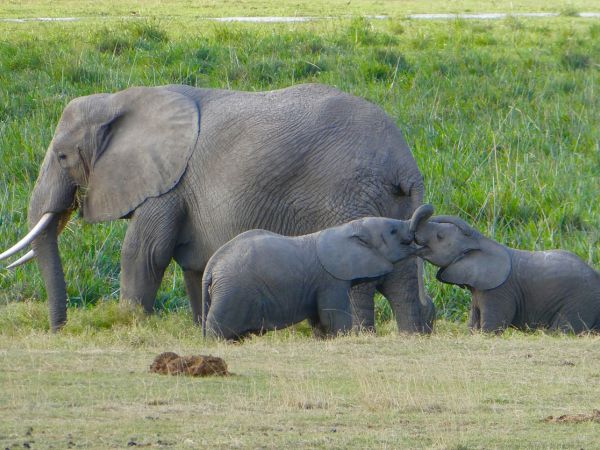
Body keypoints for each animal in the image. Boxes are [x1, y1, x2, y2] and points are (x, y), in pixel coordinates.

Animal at [200, 204, 432, 338]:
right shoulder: (330, 280)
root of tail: (210, 267)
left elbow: (319, 320)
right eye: (393, 231)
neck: (346, 229)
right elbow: (333, 316)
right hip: (232, 292)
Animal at [412, 214, 600, 334]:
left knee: (562, 330)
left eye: (440, 236)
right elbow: (472, 324)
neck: (482, 241)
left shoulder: (499, 292)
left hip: (580, 301)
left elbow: (491, 328)